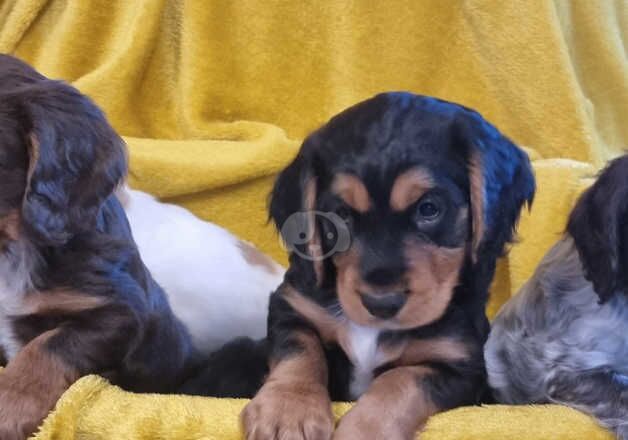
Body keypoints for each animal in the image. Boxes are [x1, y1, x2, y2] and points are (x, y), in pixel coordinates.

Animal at [231, 93, 536, 440]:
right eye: (341, 215)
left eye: (429, 208)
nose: (381, 303)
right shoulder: (292, 306)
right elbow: (301, 350)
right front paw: (289, 411)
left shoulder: (459, 364)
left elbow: (401, 382)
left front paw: (366, 429)